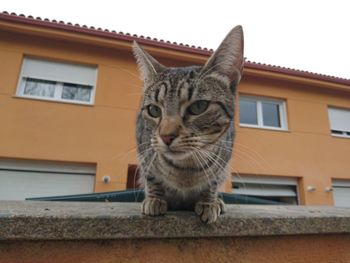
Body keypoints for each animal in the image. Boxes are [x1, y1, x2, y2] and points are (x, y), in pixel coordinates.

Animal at [131, 25, 243, 225]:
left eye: (199, 107)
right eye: (154, 110)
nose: (166, 136)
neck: (186, 168)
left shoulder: (223, 160)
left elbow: (212, 181)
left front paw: (208, 202)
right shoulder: (144, 150)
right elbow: (152, 178)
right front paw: (154, 199)